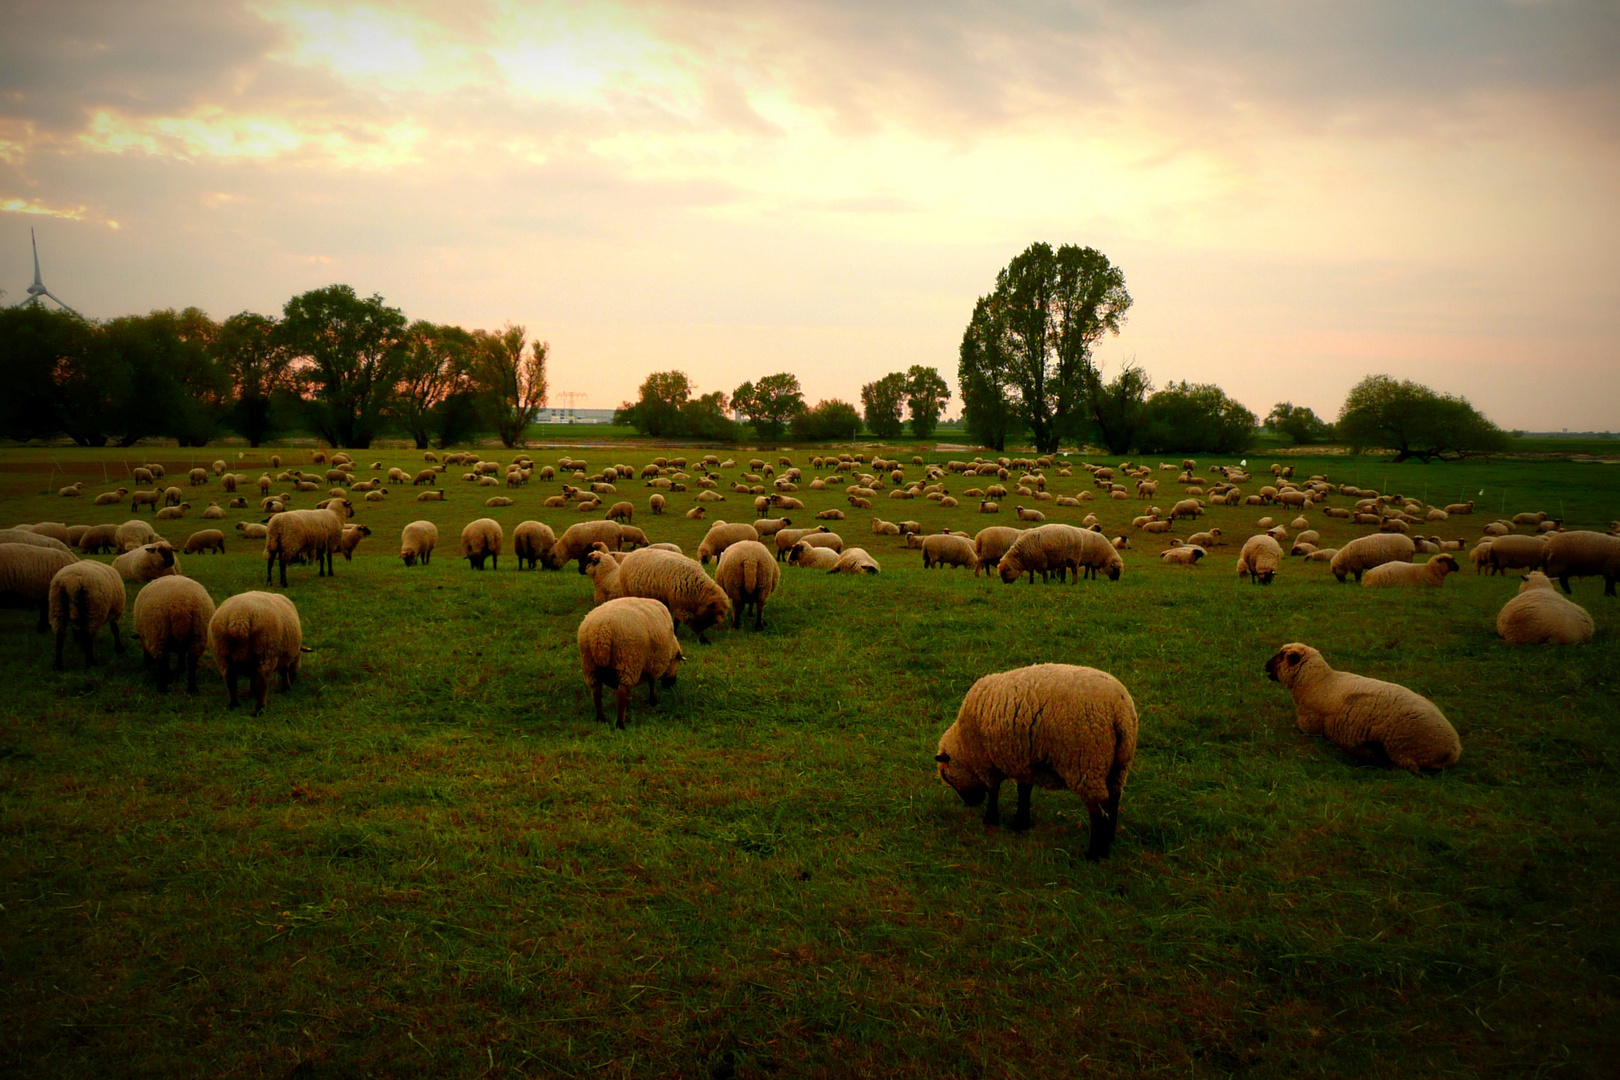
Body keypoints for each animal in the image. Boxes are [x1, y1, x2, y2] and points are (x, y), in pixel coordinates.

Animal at [576, 595, 683, 731]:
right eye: (677, 662)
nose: (671, 683)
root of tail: (601, 631)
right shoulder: (653, 663)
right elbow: (651, 682)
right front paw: (653, 700)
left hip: (590, 665)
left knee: (596, 691)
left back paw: (601, 718)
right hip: (628, 661)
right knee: (622, 694)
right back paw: (620, 724)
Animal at [939, 660, 1140, 861]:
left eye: (947, 777)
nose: (971, 804)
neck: (964, 744)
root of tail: (1120, 711)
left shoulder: (989, 761)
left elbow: (994, 790)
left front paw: (990, 819)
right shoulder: (1022, 760)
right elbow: (1024, 790)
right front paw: (1020, 822)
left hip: (1087, 763)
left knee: (1097, 811)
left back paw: (1094, 853)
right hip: (1119, 764)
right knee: (1113, 800)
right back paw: (1109, 839)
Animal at [1263, 641, 1470, 777]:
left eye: (1281, 657)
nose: (1265, 665)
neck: (1318, 682)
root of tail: (1453, 749)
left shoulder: (1308, 724)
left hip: (1403, 748)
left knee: (1409, 768)